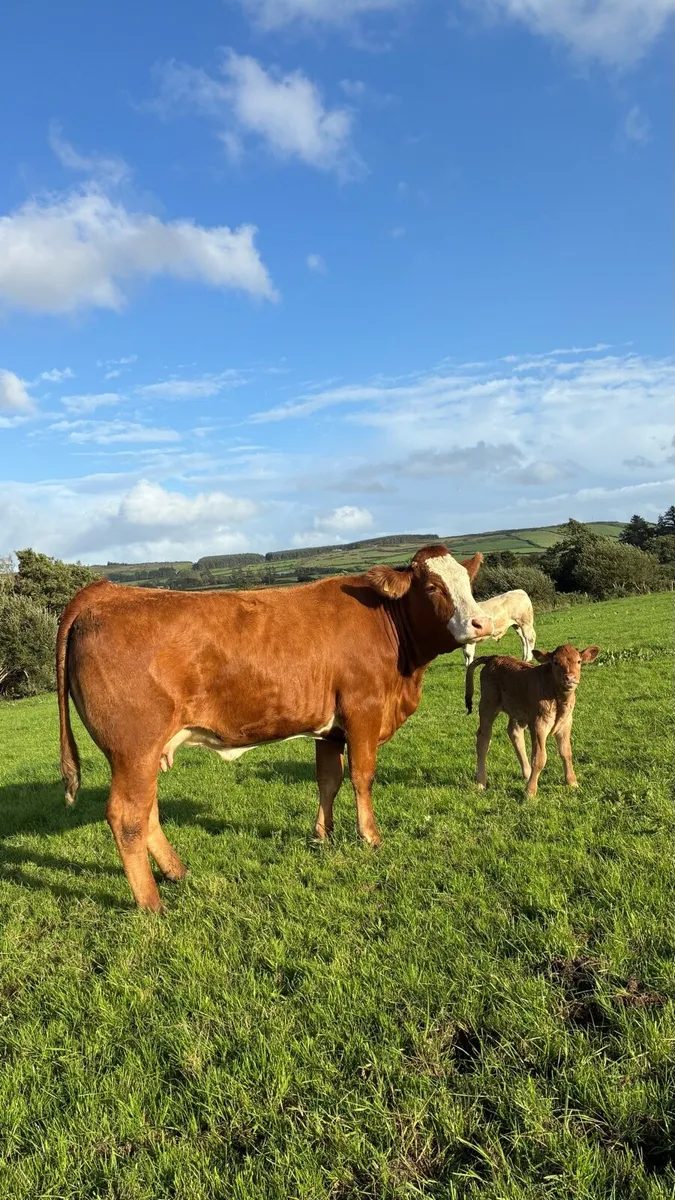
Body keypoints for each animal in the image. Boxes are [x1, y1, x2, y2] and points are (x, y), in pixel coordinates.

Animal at [57, 546, 493, 910]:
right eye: (433, 587)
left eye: (468, 584)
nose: (481, 622)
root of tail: (106, 591)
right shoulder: (363, 712)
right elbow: (362, 776)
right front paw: (370, 837)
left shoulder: (330, 729)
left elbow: (328, 780)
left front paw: (322, 835)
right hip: (134, 749)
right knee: (128, 817)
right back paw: (151, 904)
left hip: (143, 755)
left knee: (147, 811)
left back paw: (176, 872)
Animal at [465, 644, 599, 797]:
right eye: (555, 662)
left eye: (579, 661)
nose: (570, 678)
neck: (557, 698)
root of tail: (494, 657)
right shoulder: (538, 724)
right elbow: (539, 758)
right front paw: (530, 791)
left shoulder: (566, 723)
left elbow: (566, 753)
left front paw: (572, 782)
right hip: (488, 704)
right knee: (484, 739)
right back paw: (481, 782)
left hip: (517, 711)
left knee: (514, 732)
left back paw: (527, 773)